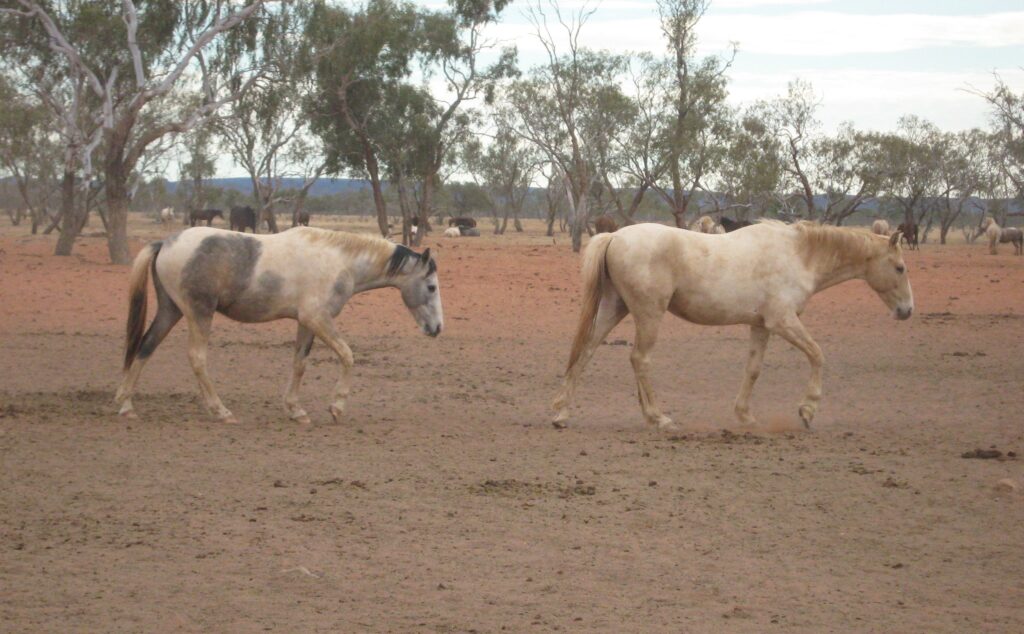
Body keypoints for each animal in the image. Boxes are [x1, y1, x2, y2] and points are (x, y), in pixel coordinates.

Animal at [115, 227, 443, 424]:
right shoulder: (317, 319)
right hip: (199, 313)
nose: (438, 328)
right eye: (431, 287)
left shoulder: (306, 323)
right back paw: (221, 411)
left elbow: (299, 364)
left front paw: (295, 410)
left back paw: (126, 405)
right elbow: (347, 356)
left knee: (145, 347)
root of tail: (165, 243)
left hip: (171, 311)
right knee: (197, 359)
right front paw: (337, 407)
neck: (340, 262)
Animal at [551, 221, 913, 430]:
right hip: (648, 314)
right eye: (899, 267)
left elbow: (752, 369)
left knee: (586, 350)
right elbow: (817, 355)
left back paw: (562, 414)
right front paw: (808, 410)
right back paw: (658, 417)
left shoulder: (762, 326)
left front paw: (744, 416)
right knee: (639, 359)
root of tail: (615, 236)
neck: (798, 254)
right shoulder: (784, 321)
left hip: (615, 309)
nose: (907, 310)